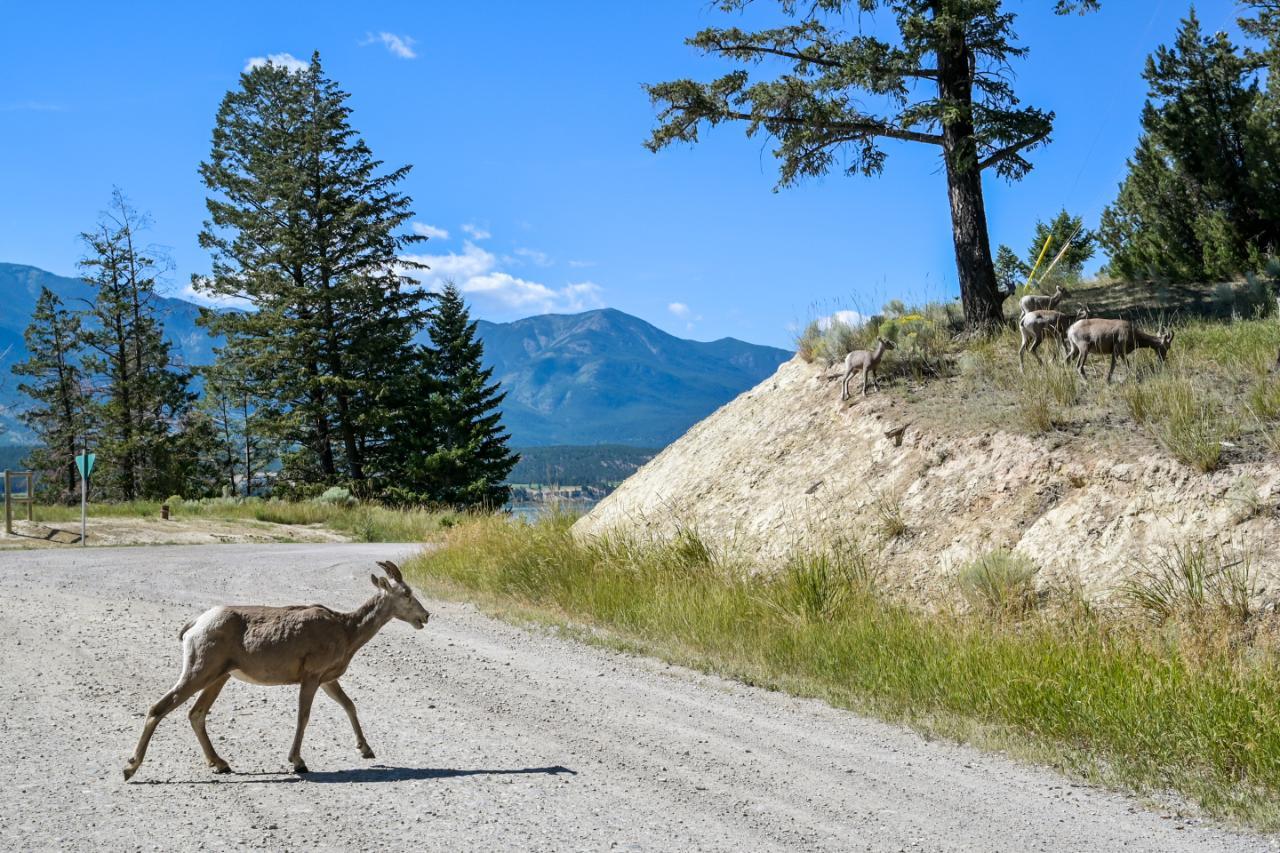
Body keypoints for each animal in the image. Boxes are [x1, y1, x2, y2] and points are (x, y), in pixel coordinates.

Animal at [120, 558, 430, 778]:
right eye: (406, 593)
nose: (425, 616)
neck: (346, 630)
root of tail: (194, 626)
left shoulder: (327, 679)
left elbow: (349, 705)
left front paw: (366, 750)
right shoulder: (311, 676)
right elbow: (303, 717)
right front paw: (298, 762)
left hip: (218, 677)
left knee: (196, 714)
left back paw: (220, 764)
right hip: (199, 670)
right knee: (159, 708)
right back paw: (130, 768)